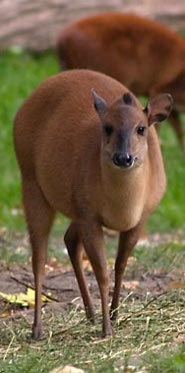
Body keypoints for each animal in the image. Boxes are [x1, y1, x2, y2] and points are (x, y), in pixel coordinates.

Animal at [13, 69, 173, 338]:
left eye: (141, 128)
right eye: (107, 128)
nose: (123, 158)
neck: (124, 207)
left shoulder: (139, 219)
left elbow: (120, 265)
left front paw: (115, 315)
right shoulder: (89, 214)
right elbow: (102, 272)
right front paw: (106, 329)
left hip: (72, 205)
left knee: (69, 239)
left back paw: (90, 313)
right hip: (31, 181)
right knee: (39, 258)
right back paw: (37, 329)